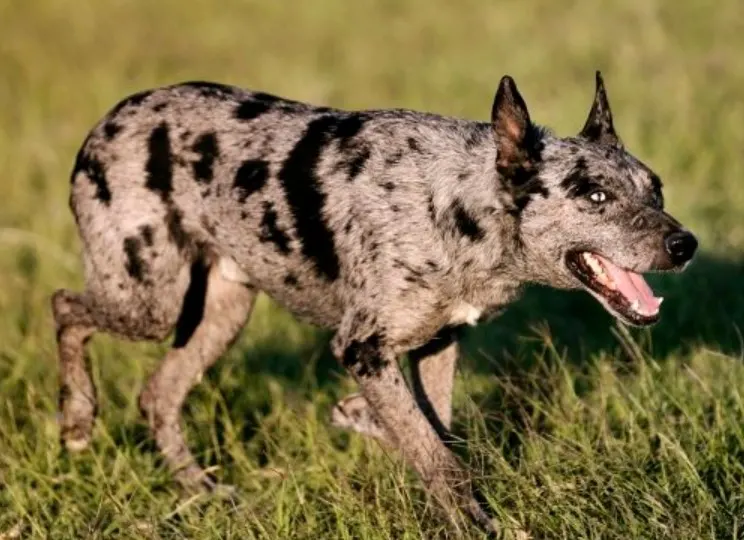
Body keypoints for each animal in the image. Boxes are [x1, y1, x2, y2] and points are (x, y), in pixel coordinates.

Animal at [53, 70, 696, 532]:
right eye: (595, 195)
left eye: (657, 189)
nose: (684, 244)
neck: (459, 206)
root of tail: (108, 120)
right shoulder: (362, 347)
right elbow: (439, 457)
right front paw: (476, 523)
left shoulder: (438, 343)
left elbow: (436, 431)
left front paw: (362, 416)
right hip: (147, 300)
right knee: (64, 307)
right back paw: (78, 418)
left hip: (223, 312)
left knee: (157, 396)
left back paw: (205, 493)